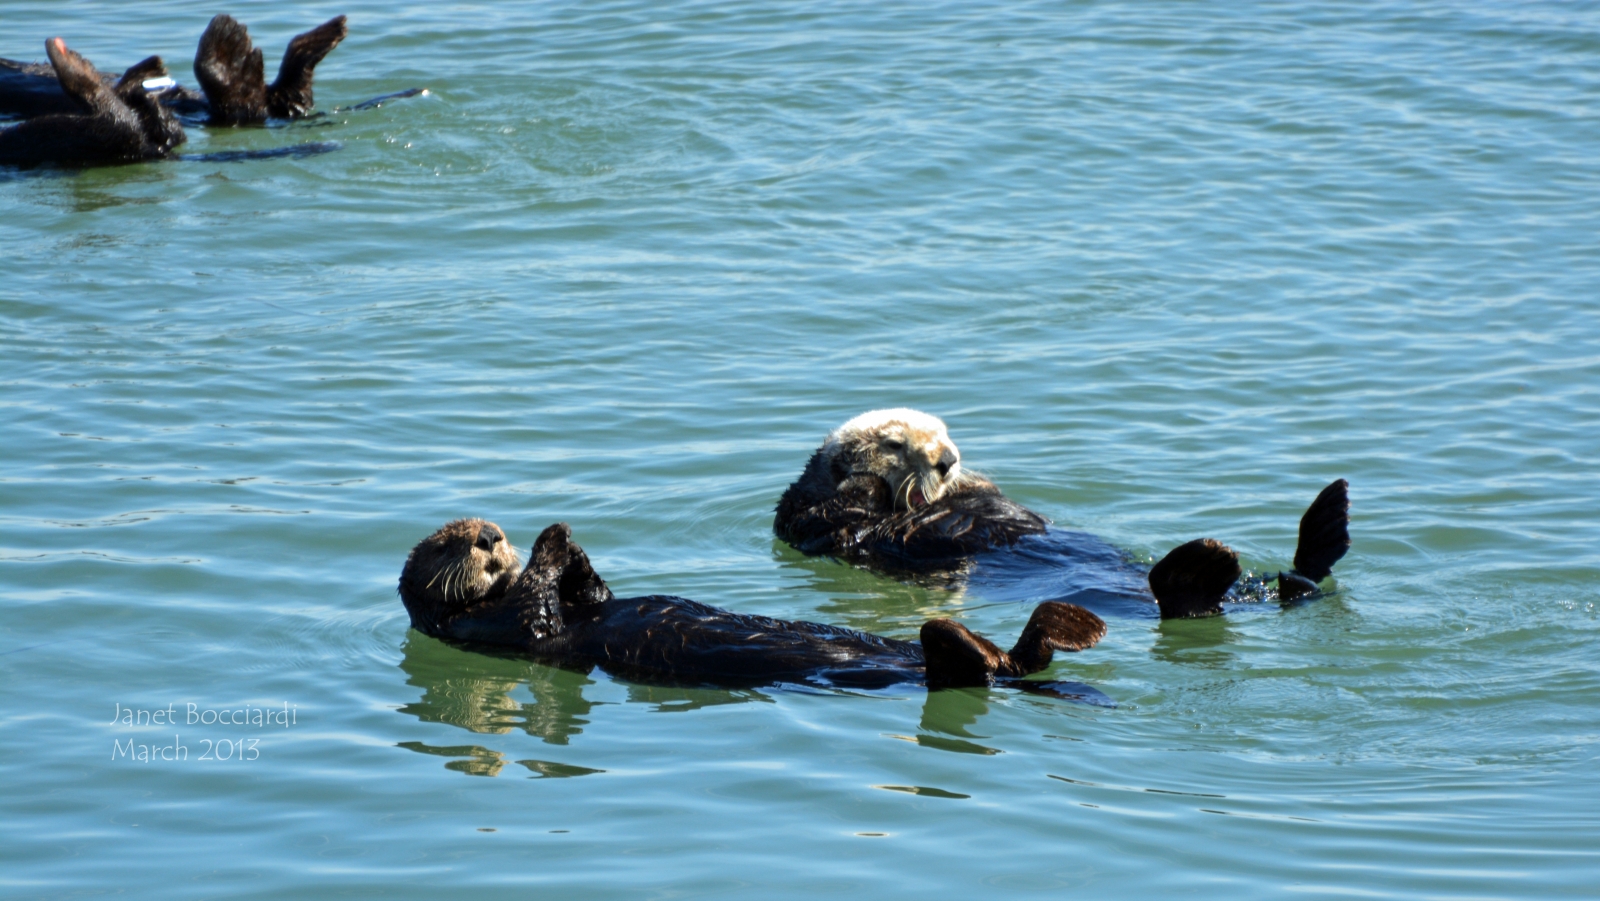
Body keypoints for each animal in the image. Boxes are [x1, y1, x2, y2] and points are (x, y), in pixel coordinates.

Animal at [774, 409, 1350, 620]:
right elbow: (840, 513)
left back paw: (1328, 517)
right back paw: (1203, 567)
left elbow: (986, 494)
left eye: (944, 433)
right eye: (895, 443)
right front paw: (866, 479)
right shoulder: (809, 524)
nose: (947, 458)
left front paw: (967, 480)